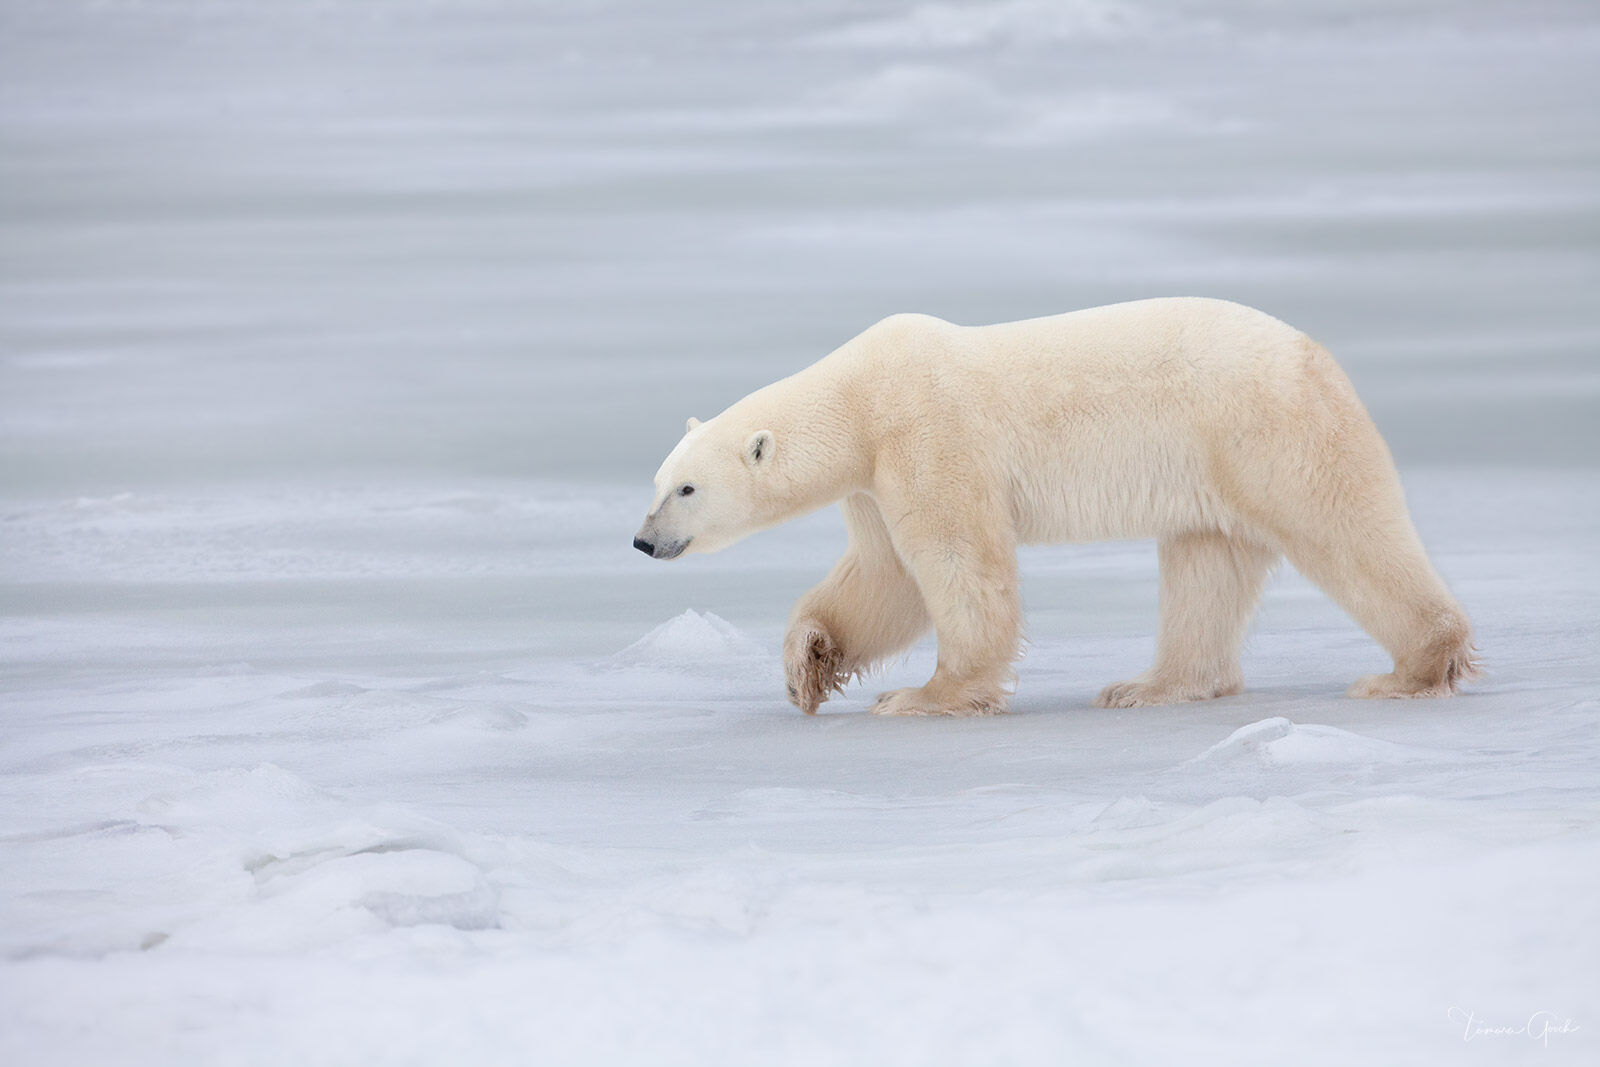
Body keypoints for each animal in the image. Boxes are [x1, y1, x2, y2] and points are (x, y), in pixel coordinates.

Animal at [633, 297, 1478, 716]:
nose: (643, 542)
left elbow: (955, 563)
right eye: (656, 481)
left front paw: (923, 695)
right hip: (1212, 470)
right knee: (1206, 567)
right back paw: (1146, 685)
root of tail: (1319, 353)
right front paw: (805, 664)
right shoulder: (874, 479)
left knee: (1345, 529)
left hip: (1267, 432)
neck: (858, 398)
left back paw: (1411, 668)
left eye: (685, 489)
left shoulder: (928, 435)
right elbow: (885, 579)